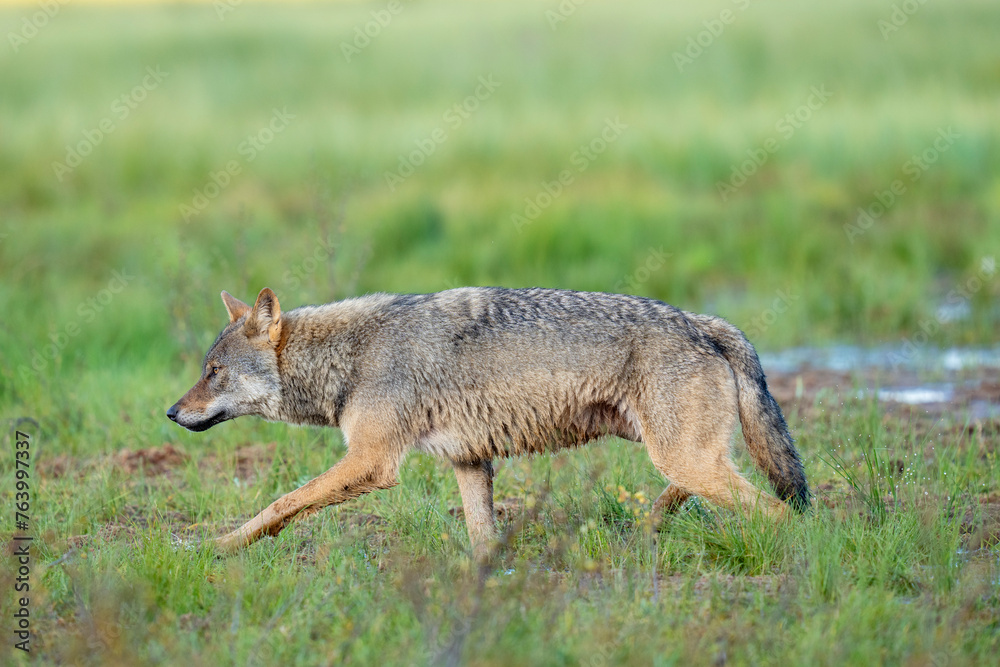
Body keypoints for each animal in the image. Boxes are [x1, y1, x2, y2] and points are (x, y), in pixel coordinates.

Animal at [167, 287, 809, 558]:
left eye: (214, 372)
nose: (171, 412)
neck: (352, 354)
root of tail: (704, 322)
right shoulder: (470, 462)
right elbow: (482, 540)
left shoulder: (372, 464)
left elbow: (278, 504)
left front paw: (215, 547)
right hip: (686, 458)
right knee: (698, 492)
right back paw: (645, 528)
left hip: (685, 457)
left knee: (782, 514)